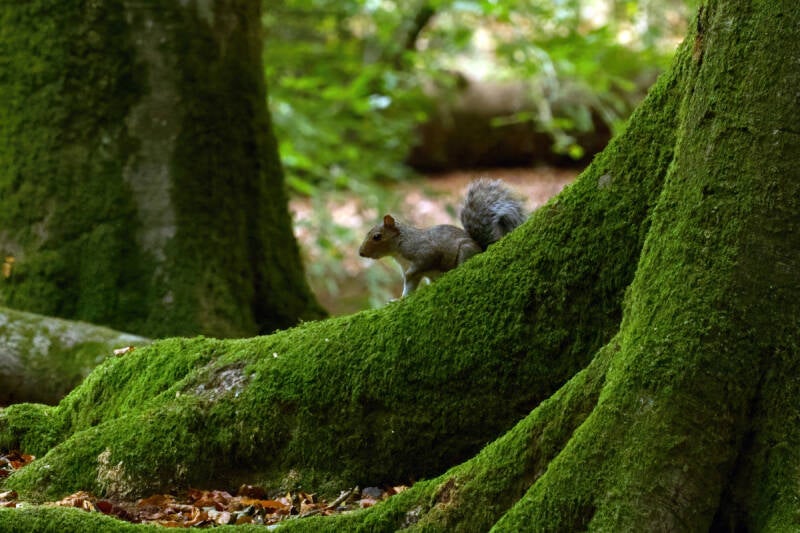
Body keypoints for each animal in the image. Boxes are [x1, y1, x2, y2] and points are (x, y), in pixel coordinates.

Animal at [358, 178, 526, 297]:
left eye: (377, 237)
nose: (361, 253)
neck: (399, 247)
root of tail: (482, 248)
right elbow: (409, 287)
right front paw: (399, 299)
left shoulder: (424, 251)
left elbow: (422, 265)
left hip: (465, 250)